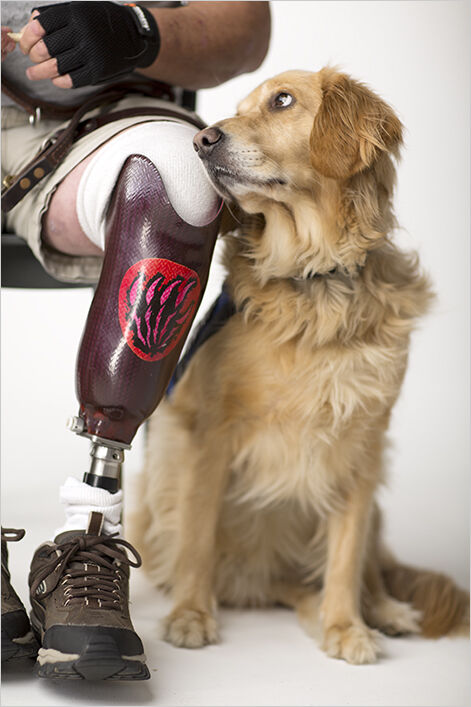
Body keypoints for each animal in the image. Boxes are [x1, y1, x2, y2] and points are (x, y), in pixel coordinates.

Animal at [129, 68, 469, 664]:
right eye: (239, 107)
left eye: (282, 101)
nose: (201, 141)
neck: (315, 279)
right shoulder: (207, 432)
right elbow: (197, 534)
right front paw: (191, 615)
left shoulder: (363, 445)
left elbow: (347, 555)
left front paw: (346, 625)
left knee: (363, 568)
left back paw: (382, 611)